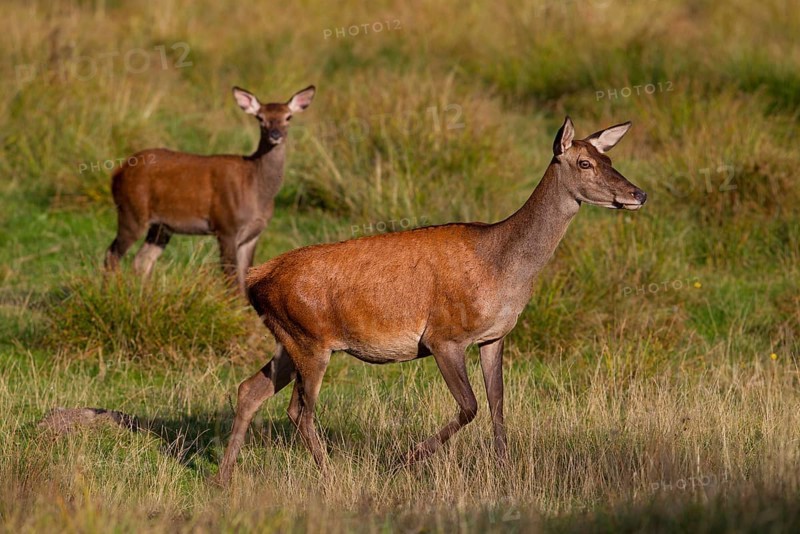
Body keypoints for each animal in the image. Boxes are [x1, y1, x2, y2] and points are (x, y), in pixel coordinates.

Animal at [104, 85, 316, 293]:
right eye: (260, 118)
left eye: (288, 117)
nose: (275, 135)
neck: (257, 190)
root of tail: (117, 172)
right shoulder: (226, 226)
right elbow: (232, 281)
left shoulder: (253, 234)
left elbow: (246, 277)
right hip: (131, 211)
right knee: (112, 255)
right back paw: (110, 293)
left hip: (161, 226)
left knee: (142, 260)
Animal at [215, 117, 647, 484]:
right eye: (585, 162)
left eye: (610, 158)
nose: (638, 193)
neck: (504, 270)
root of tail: (256, 278)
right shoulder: (444, 336)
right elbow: (471, 406)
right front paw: (404, 458)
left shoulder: (494, 336)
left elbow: (498, 405)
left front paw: (505, 473)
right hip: (309, 340)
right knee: (299, 411)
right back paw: (330, 476)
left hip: (288, 341)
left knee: (250, 390)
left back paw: (224, 477)